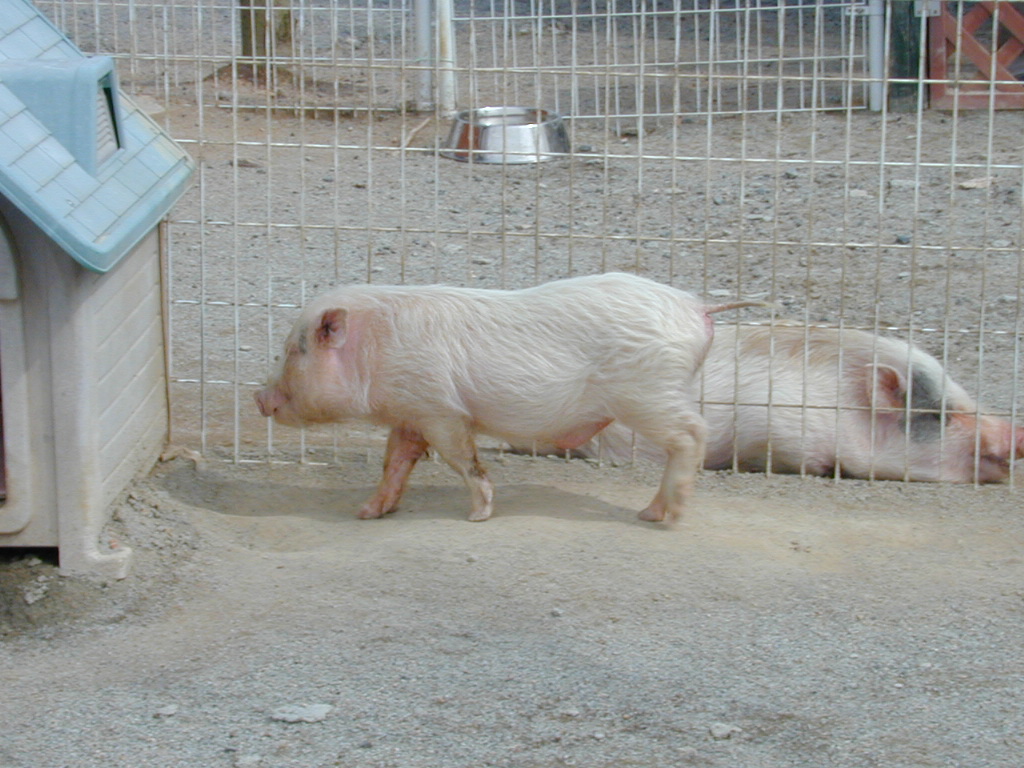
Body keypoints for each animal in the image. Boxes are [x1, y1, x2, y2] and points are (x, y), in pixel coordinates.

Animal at [254, 274, 761, 524]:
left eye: (293, 350)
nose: (259, 397)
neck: (374, 347)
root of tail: (697, 306)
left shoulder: (441, 408)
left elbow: (463, 460)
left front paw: (478, 515)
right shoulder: (411, 412)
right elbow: (394, 462)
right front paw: (366, 512)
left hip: (647, 393)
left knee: (693, 434)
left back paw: (663, 516)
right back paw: (652, 512)